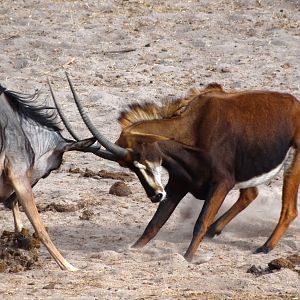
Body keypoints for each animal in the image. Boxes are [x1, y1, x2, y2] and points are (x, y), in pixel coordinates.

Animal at [54, 75, 300, 262]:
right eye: (128, 166)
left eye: (139, 156)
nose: (155, 195)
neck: (195, 127)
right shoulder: (178, 184)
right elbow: (154, 224)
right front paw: (132, 249)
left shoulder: (221, 183)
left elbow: (200, 222)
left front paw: (188, 257)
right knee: (250, 194)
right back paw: (217, 231)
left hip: (293, 163)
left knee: (288, 210)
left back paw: (265, 247)